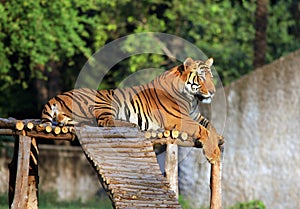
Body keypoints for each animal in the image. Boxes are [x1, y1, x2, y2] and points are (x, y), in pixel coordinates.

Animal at [41, 58, 221, 164]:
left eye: (211, 77)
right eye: (201, 77)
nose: (213, 92)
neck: (192, 99)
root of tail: (56, 97)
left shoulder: (194, 115)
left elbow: (211, 126)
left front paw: (218, 141)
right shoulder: (178, 119)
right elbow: (203, 130)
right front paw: (213, 154)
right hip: (103, 101)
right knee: (104, 121)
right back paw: (131, 125)